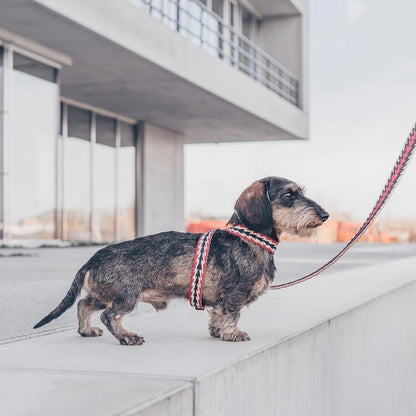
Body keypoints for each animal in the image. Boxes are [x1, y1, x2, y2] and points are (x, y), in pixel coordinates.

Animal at [33, 177, 328, 346]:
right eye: (289, 195)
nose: (325, 215)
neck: (249, 237)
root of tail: (92, 258)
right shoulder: (235, 292)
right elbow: (232, 313)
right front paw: (232, 334)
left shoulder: (220, 298)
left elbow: (217, 314)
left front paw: (217, 330)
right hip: (125, 297)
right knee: (109, 315)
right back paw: (127, 336)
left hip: (105, 293)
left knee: (83, 304)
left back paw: (86, 330)